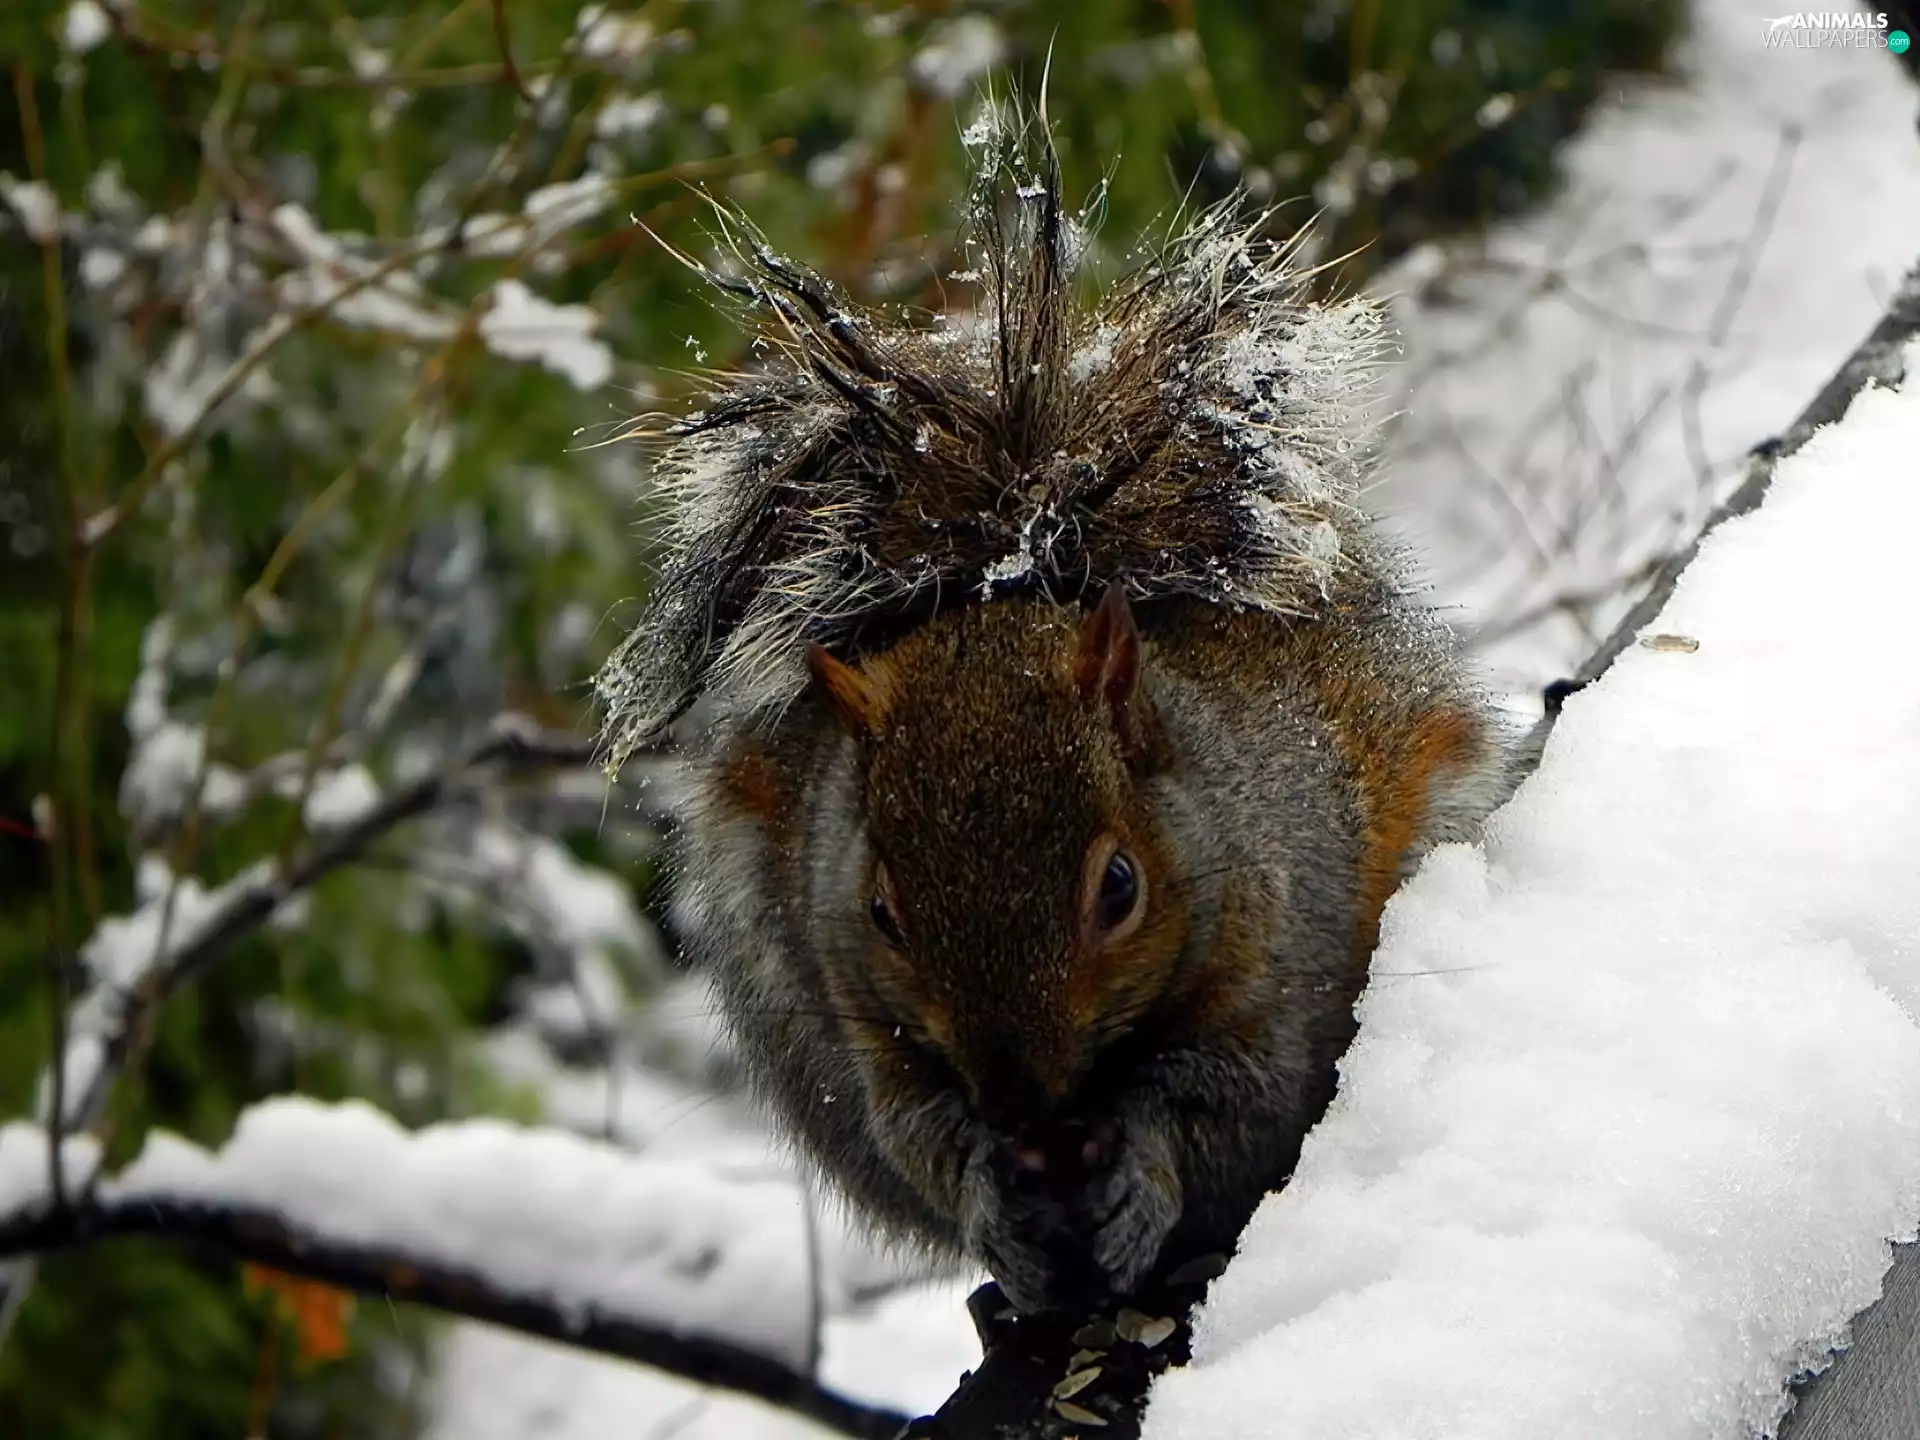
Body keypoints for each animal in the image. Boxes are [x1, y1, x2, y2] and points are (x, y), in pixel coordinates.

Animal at [596, 118, 1521, 1315]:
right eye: (882, 910)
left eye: (1119, 888)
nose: (1024, 1106)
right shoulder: (854, 1008)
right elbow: (916, 1132)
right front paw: (996, 1202)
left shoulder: (1284, 957)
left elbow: (1224, 1102)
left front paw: (1140, 1182)